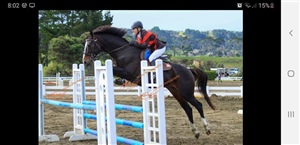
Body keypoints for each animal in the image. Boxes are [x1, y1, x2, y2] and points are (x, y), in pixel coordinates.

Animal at [82, 25, 216, 139]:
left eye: (90, 45)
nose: (85, 61)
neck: (123, 52)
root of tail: (188, 70)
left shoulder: (130, 73)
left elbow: (113, 69)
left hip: (186, 92)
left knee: (198, 105)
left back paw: (207, 128)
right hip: (175, 92)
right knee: (187, 108)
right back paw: (196, 132)